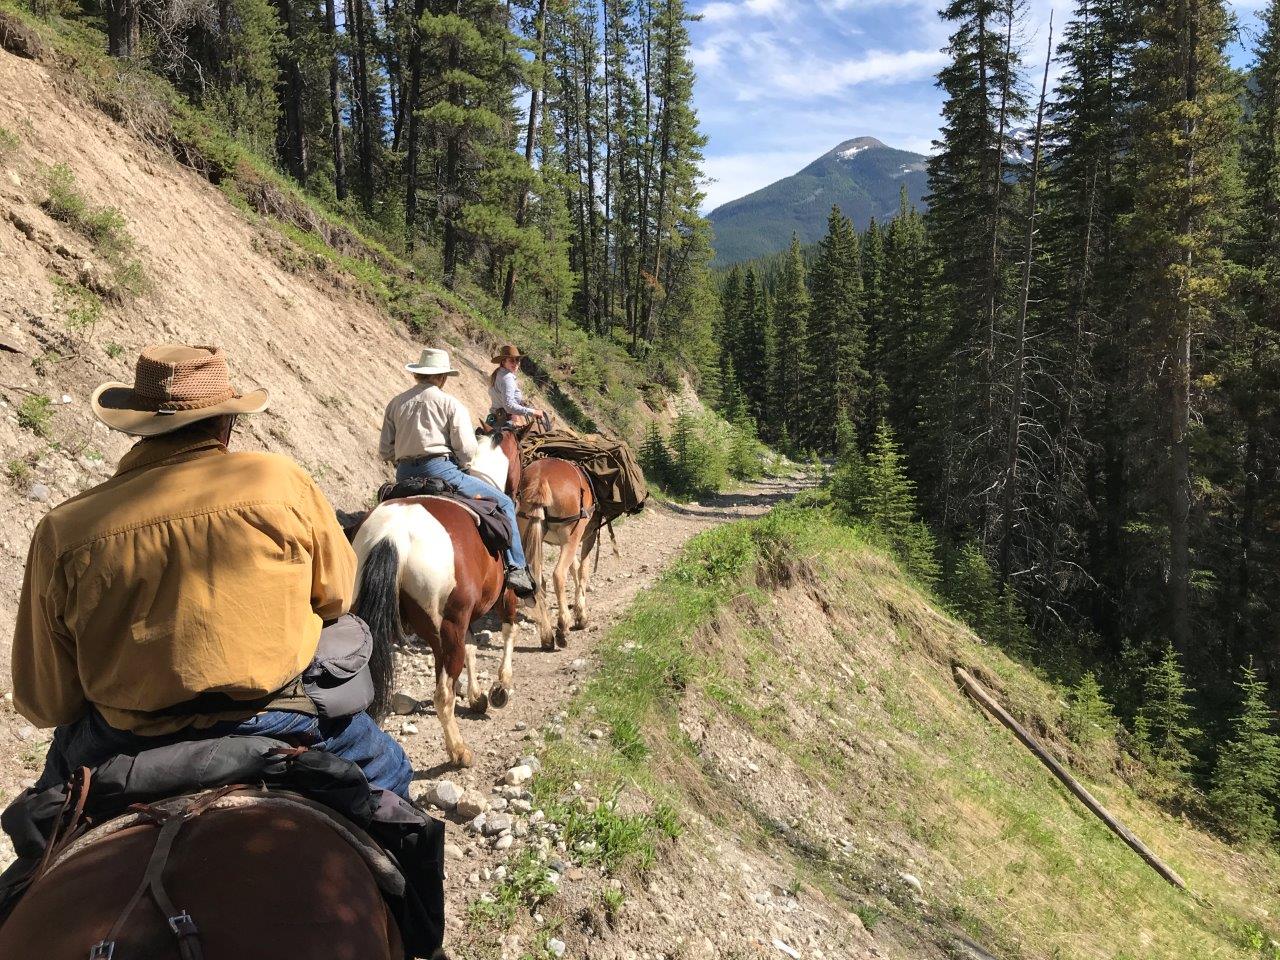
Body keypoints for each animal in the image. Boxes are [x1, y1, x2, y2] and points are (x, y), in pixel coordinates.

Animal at [353, 424, 542, 773]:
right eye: (522, 456)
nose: (518, 491)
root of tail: (392, 536)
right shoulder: (504, 596)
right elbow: (508, 631)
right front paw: (501, 687)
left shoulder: (466, 616)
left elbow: (472, 647)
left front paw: (478, 696)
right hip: (445, 630)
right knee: (443, 694)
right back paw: (459, 752)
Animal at [519, 460, 599, 655]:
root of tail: (541, 479)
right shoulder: (587, 534)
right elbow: (582, 570)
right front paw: (581, 615)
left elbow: (575, 567)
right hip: (571, 536)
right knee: (558, 575)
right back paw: (562, 628)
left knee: (538, 580)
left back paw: (547, 637)